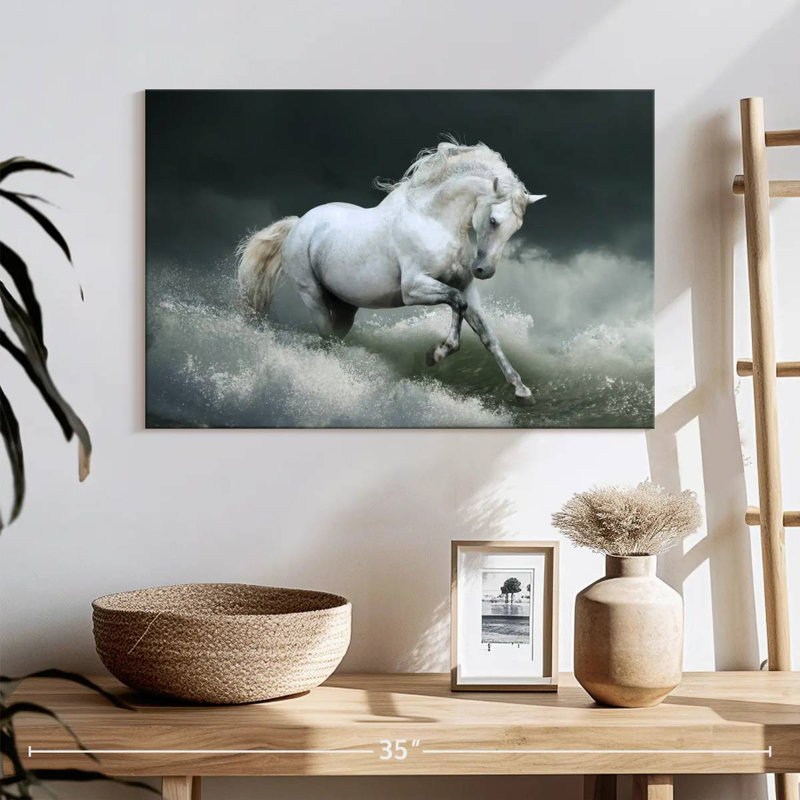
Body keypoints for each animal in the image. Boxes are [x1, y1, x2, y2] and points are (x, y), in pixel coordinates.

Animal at [237, 140, 545, 404]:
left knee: (335, 336)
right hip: (312, 296)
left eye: (515, 228)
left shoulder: (466, 287)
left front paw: (521, 390)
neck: (432, 220)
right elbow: (457, 302)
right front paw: (436, 354)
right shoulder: (413, 289)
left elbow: (486, 333)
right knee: (325, 335)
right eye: (493, 220)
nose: (484, 270)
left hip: (345, 308)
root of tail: (298, 223)